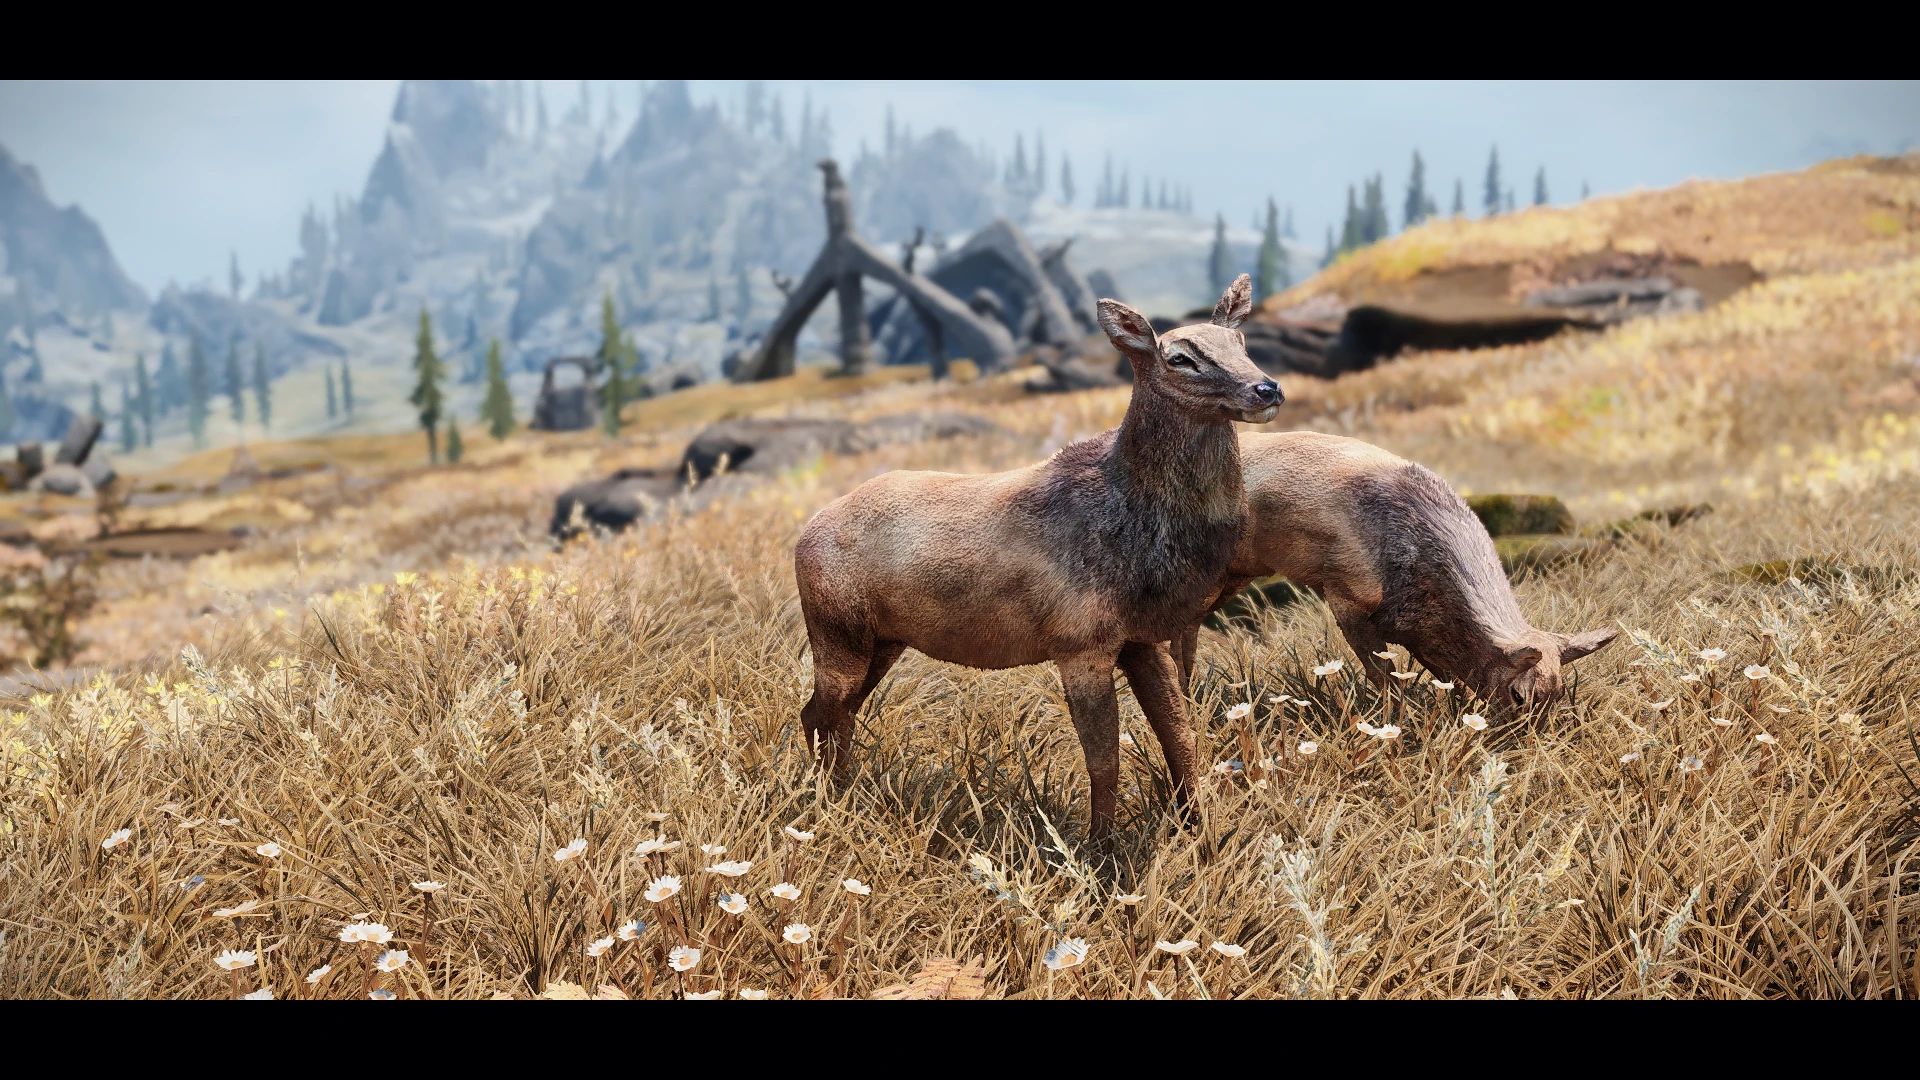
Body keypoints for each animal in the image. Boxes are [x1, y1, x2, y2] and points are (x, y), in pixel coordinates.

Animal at [794, 275, 1281, 839]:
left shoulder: (1140, 639)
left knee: (834, 715)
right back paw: (828, 807)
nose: (1267, 388)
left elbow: (1179, 738)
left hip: (882, 640)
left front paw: (1200, 831)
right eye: (1181, 357)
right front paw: (1100, 849)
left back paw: (845, 797)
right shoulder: (1079, 640)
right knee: (821, 712)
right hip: (836, 629)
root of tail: (803, 537)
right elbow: (1104, 758)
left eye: (1241, 342)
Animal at [1174, 430, 1617, 711]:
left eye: (1558, 697)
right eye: (1519, 696)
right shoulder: (1346, 596)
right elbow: (1382, 674)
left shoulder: (1422, 633)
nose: (1524, 746)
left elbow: (1447, 676)